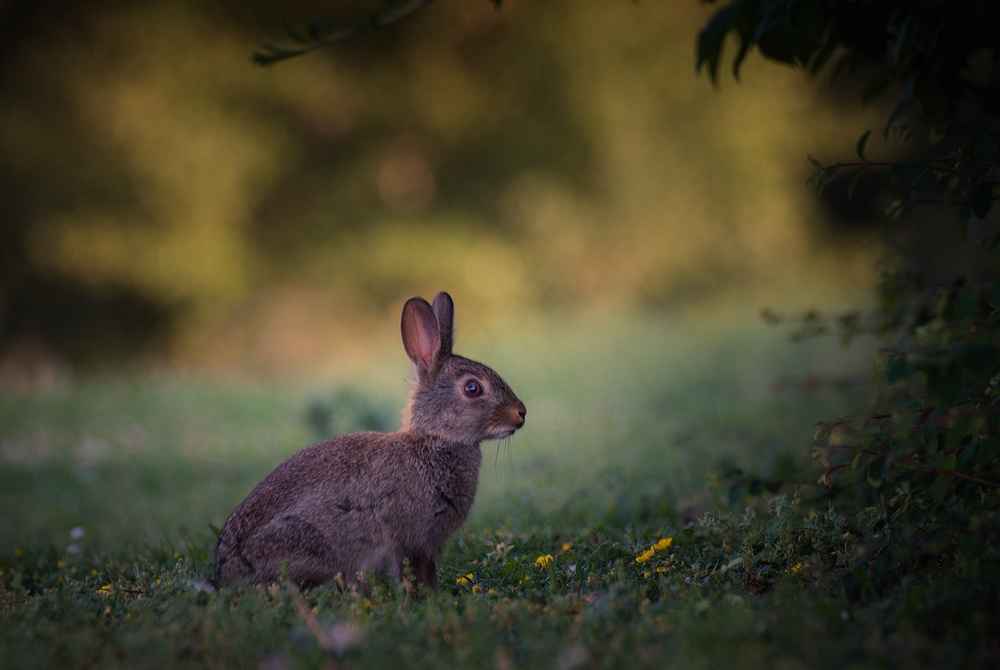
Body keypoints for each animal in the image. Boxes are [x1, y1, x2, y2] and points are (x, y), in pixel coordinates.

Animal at [215, 292, 528, 592]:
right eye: (472, 388)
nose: (521, 413)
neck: (435, 439)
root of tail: (226, 571)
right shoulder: (411, 541)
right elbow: (414, 575)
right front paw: (422, 600)